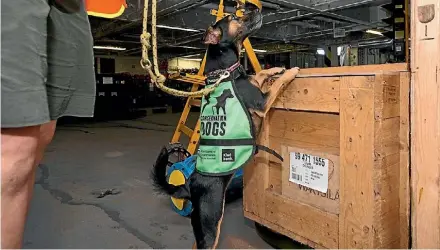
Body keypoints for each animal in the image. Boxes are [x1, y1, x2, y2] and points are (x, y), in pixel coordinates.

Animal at [151, 6, 300, 249]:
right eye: (232, 17)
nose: (258, 9)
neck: (227, 71)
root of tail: (189, 184)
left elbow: (260, 74)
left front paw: (276, 67)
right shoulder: (263, 102)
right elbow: (279, 83)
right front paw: (291, 71)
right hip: (211, 220)